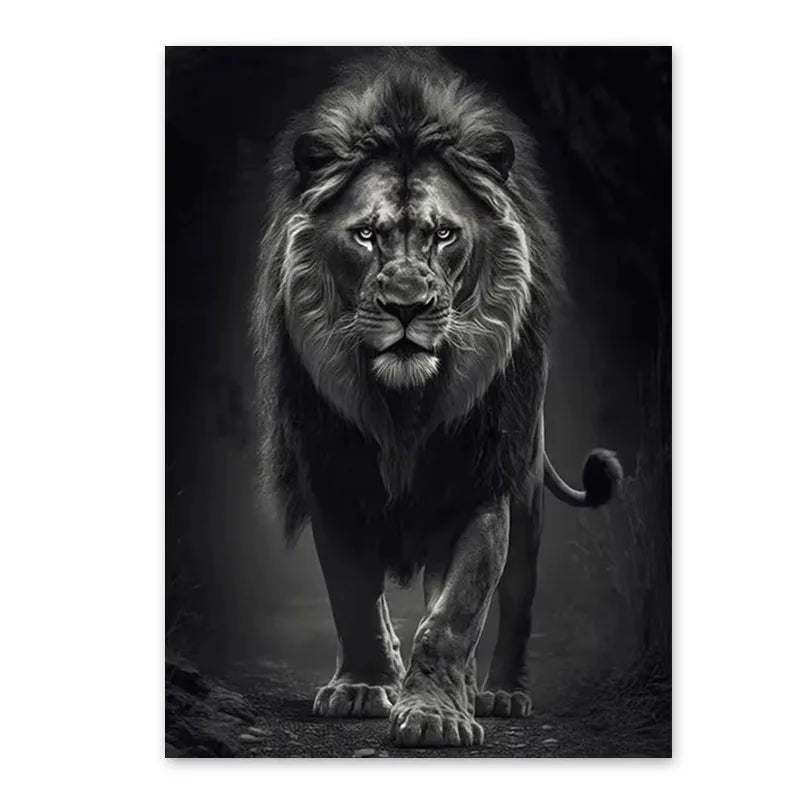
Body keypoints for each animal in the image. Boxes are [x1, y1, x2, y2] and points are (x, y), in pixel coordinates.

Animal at [252, 49, 622, 748]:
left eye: (445, 235)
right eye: (366, 236)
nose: (407, 306)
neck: (402, 410)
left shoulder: (477, 487)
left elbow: (456, 615)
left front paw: (435, 716)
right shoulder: (334, 479)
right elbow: (352, 597)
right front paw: (363, 687)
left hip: (527, 497)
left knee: (516, 599)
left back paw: (497, 694)